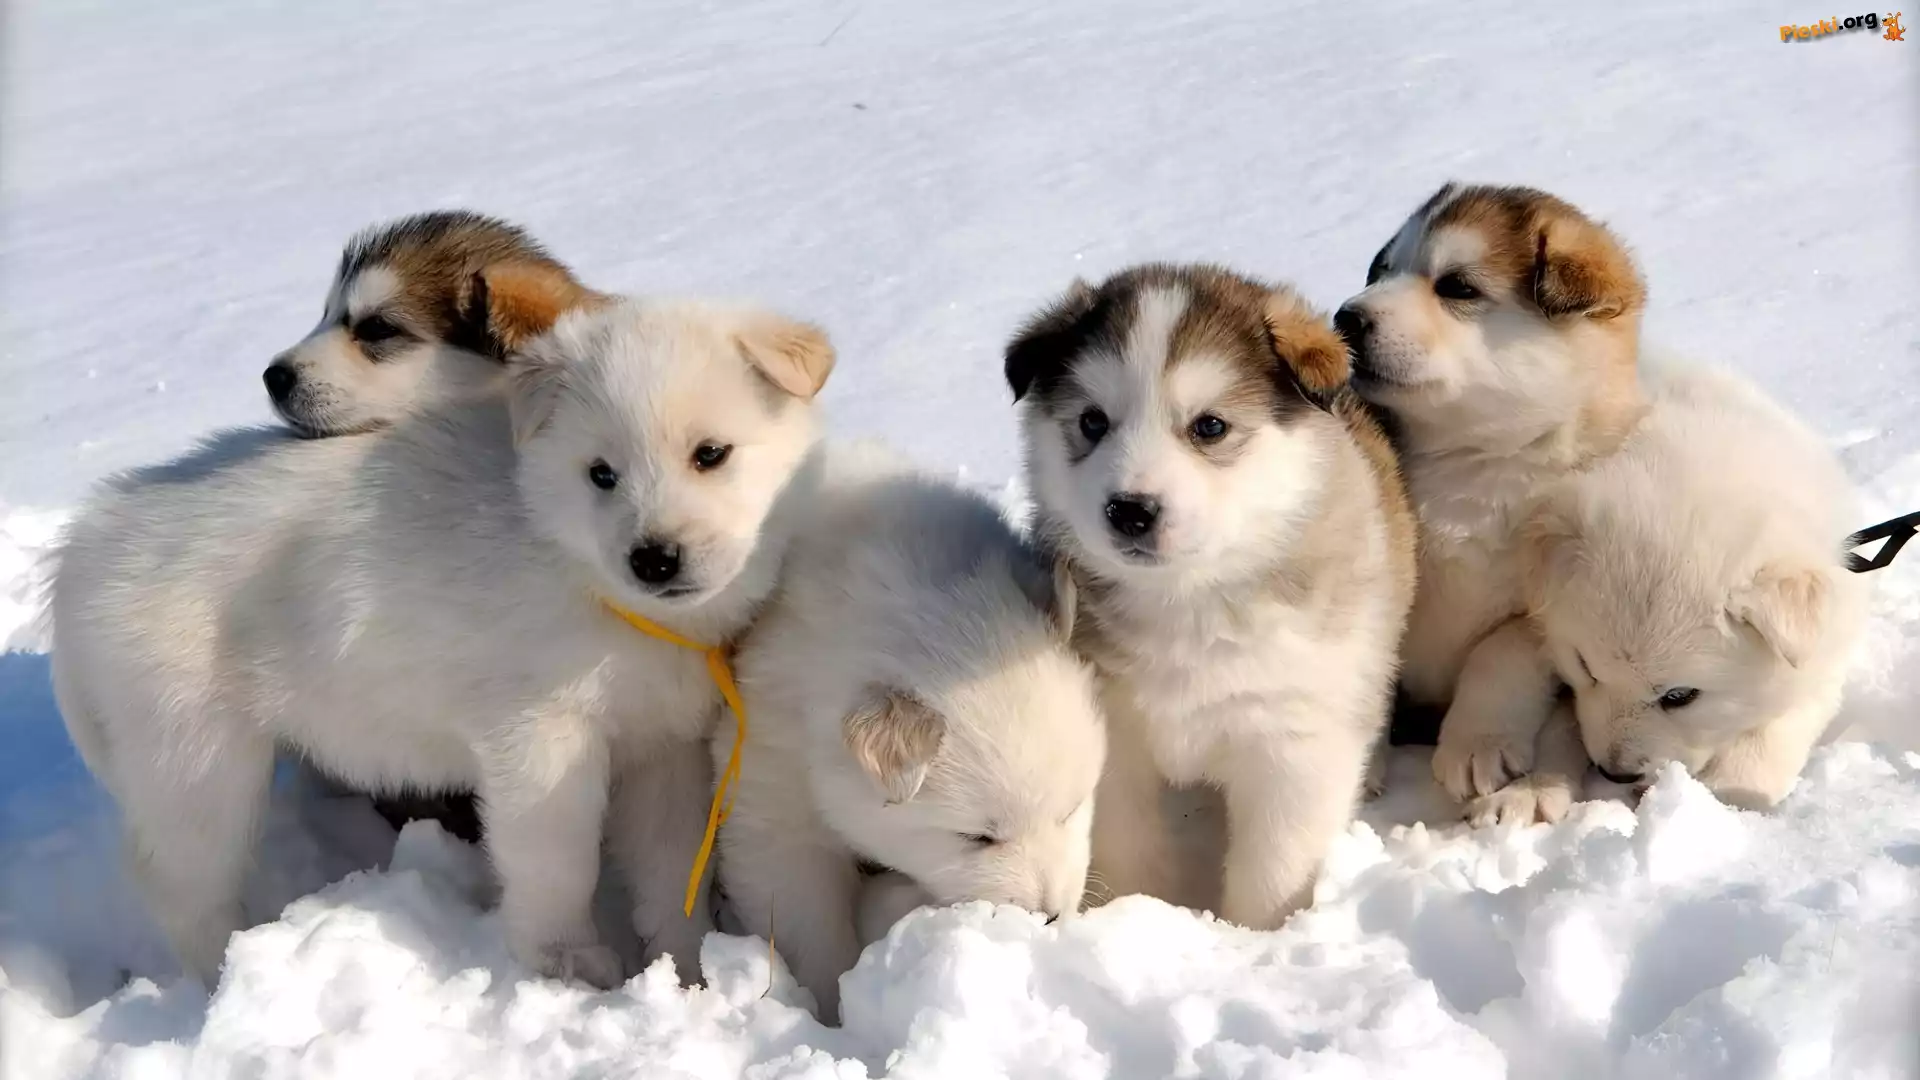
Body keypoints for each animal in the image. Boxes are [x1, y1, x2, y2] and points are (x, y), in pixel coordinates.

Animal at [49, 274, 833, 988]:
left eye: (711, 453)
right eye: (601, 474)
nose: (654, 557)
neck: (586, 578)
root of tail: (84, 542)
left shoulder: (663, 746)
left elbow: (670, 865)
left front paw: (685, 967)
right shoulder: (540, 735)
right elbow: (559, 859)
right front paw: (571, 964)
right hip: (194, 755)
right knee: (182, 884)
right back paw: (224, 970)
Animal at [714, 443, 1104, 1021]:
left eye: (1071, 810)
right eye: (977, 836)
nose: (1049, 916)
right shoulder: (771, 770)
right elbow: (798, 902)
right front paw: (832, 1009)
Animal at [1007, 263, 1415, 931]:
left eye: (1210, 426)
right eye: (1093, 422)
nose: (1130, 510)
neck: (1188, 603)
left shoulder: (1293, 744)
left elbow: (1274, 872)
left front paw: (1258, 938)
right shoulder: (1117, 738)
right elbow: (1128, 844)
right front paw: (1136, 915)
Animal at [1335, 183, 1649, 826]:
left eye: (1457, 286)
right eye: (1383, 271)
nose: (1345, 317)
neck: (1477, 461)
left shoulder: (1544, 609)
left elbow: (1499, 652)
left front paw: (1475, 745)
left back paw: (1529, 792)